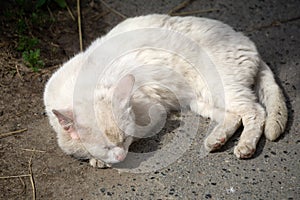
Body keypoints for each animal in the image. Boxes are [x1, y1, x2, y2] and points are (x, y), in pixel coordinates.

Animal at [43, 13, 288, 167]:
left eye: (125, 139)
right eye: (105, 145)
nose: (121, 157)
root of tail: (249, 43)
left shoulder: (153, 112)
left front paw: (100, 160)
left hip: (222, 86)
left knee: (255, 111)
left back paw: (245, 146)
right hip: (202, 98)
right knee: (235, 116)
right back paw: (216, 140)